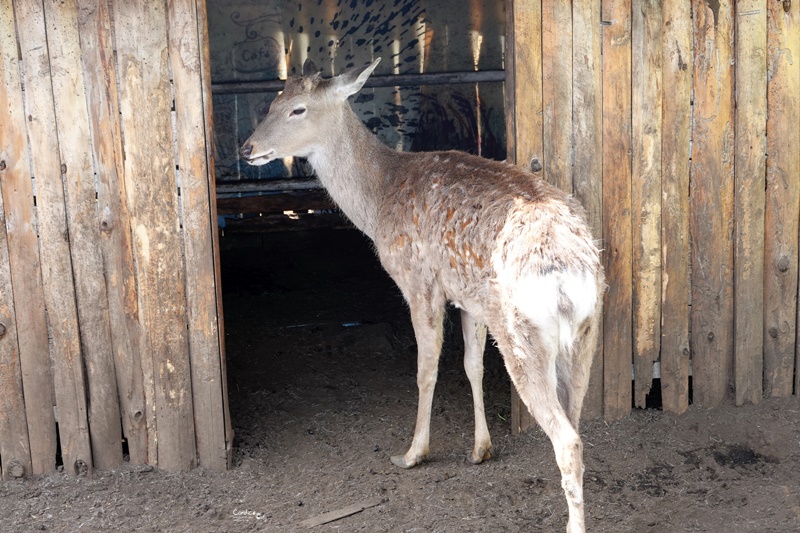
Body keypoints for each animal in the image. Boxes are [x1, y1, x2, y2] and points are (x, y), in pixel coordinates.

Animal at [241, 58, 604, 532]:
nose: (247, 148)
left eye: (297, 109)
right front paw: (480, 449)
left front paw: (413, 452)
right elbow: (471, 365)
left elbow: (425, 369)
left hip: (522, 332)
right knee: (576, 422)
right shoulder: (468, 296)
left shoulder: (418, 282)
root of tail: (567, 274)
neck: (377, 203)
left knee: (567, 439)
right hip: (586, 331)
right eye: (272, 100)